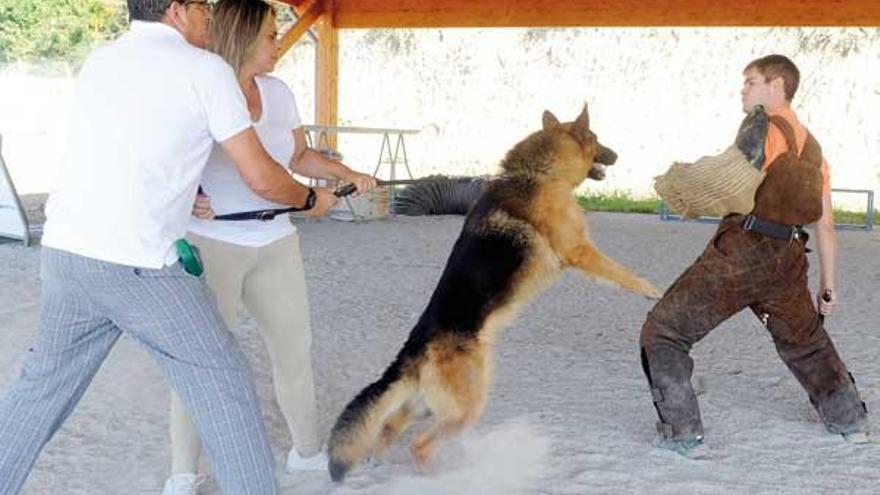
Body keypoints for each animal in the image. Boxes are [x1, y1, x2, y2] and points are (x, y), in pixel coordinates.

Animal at [326, 104, 656, 480]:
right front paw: (650, 289)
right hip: (464, 409)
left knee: (389, 427)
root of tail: (414, 350)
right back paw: (444, 476)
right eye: (597, 139)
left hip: (424, 406)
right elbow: (620, 273)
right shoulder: (580, 251)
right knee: (419, 445)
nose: (617, 155)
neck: (538, 174)